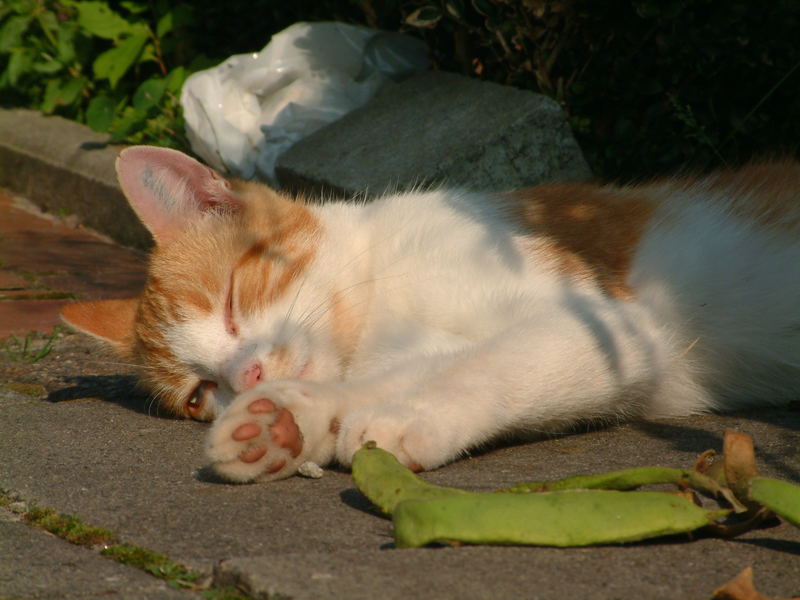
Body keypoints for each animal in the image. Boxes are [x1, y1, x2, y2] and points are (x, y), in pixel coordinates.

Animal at [61, 145, 800, 482]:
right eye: (198, 393)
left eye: (235, 300)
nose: (246, 377)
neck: (377, 295)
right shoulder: (409, 351)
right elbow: (387, 376)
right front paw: (284, 424)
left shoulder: (611, 328)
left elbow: (494, 363)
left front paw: (413, 417)